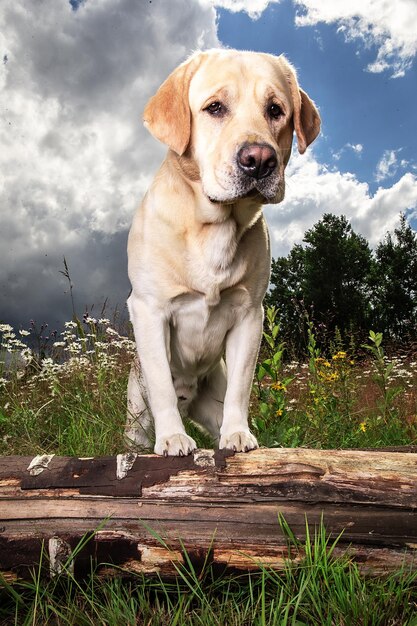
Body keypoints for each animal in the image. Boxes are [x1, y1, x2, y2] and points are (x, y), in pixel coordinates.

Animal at [123, 47, 318, 454]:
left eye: (276, 110)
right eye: (214, 107)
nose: (259, 159)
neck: (214, 227)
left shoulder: (249, 316)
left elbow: (241, 390)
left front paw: (238, 433)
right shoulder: (149, 310)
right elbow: (162, 387)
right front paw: (173, 438)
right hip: (136, 417)